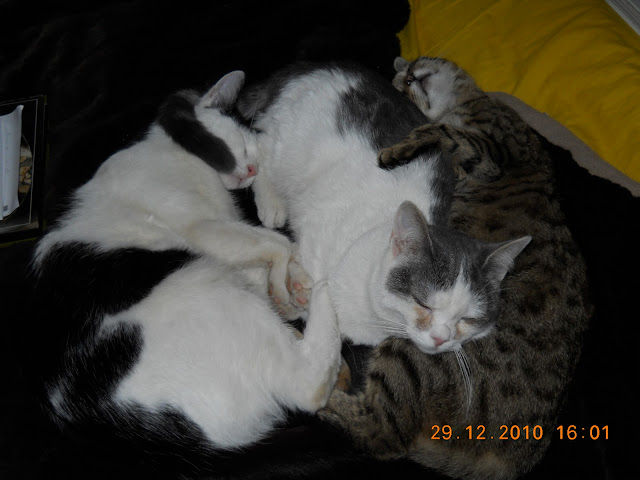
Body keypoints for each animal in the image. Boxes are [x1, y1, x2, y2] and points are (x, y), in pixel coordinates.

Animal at [29, 70, 343, 456]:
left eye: (256, 155)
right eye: (243, 143)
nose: (253, 168)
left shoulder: (227, 236)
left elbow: (265, 256)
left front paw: (293, 287)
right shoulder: (202, 228)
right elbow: (277, 243)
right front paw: (287, 286)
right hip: (207, 285)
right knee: (307, 385)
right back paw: (325, 293)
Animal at [236, 61, 530, 355]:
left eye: (467, 319)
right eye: (423, 303)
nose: (441, 338)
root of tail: (314, 66)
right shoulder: (314, 234)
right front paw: (295, 291)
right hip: (285, 146)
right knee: (258, 148)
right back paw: (271, 203)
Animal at [318, 56, 592, 480]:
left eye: (411, 72)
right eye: (402, 84)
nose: (408, 74)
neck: (464, 101)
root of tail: (517, 460)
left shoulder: (498, 150)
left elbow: (439, 130)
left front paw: (397, 149)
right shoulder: (486, 154)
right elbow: (444, 132)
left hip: (412, 351)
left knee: (381, 431)